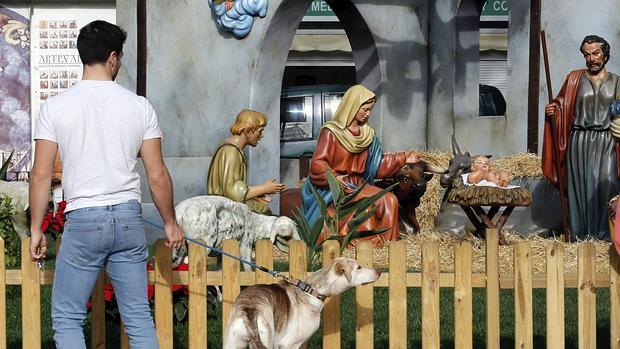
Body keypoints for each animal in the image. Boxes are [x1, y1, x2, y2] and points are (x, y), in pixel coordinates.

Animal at [222, 256, 378, 348]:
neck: (311, 291)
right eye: (358, 267)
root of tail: (249, 309)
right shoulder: (290, 344)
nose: (379, 271)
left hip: (232, 343)